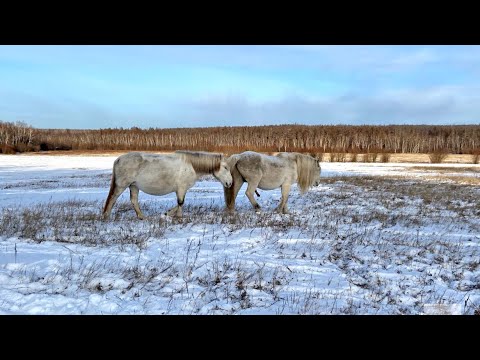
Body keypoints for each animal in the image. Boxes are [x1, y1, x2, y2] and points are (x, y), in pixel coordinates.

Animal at [102, 150, 233, 219]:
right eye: (225, 167)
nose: (230, 183)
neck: (191, 165)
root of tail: (118, 159)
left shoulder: (180, 190)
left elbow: (179, 203)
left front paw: (168, 213)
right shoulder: (181, 188)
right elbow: (181, 203)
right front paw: (178, 216)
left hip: (134, 186)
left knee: (134, 200)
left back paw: (141, 217)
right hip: (121, 185)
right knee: (112, 198)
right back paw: (106, 216)